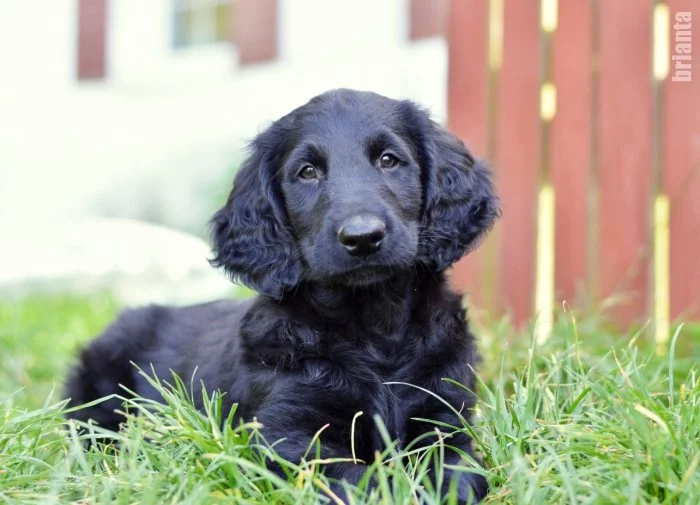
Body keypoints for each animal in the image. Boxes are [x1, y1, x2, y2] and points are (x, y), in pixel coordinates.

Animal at [64, 88, 498, 502]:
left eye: (389, 160)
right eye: (307, 172)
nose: (362, 237)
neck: (373, 331)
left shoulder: (446, 413)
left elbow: (458, 471)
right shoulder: (288, 438)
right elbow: (360, 482)